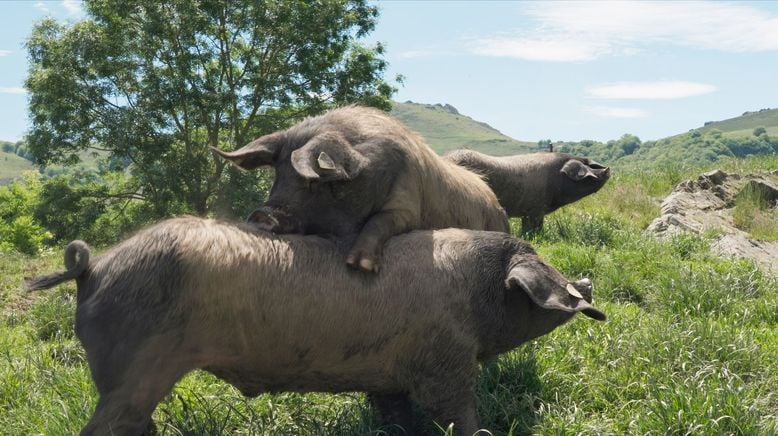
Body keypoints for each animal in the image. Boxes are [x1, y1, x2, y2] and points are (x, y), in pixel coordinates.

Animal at [25, 216, 608, 434]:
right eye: (540, 268)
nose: (587, 284)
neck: (473, 292)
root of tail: (91, 268)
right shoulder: (446, 361)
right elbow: (458, 413)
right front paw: (482, 431)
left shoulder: (389, 375)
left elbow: (394, 414)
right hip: (131, 372)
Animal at [211, 104, 510, 272]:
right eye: (277, 175)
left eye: (312, 180)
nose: (261, 214)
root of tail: (496, 203)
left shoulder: (407, 205)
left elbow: (381, 221)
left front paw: (360, 266)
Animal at [440, 150, 608, 232]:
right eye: (588, 175)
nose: (607, 170)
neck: (556, 178)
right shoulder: (536, 209)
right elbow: (534, 228)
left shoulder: (528, 212)